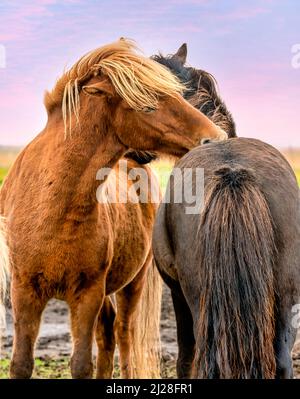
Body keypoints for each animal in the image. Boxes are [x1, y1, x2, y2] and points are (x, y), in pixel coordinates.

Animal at [0, 39, 225, 380]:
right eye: (147, 104)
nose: (216, 138)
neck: (51, 207)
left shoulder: (87, 294)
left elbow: (82, 364)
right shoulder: (24, 292)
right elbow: (21, 364)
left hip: (133, 283)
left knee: (123, 334)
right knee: (107, 335)